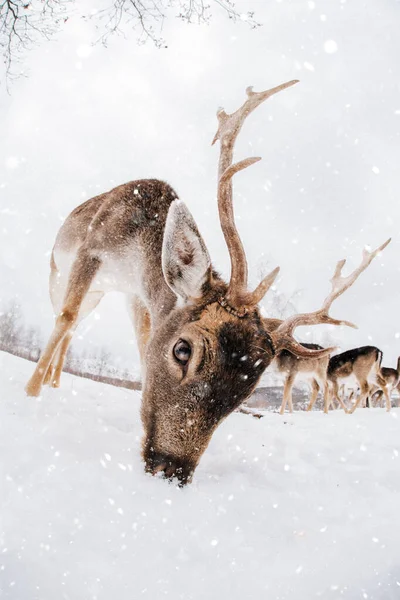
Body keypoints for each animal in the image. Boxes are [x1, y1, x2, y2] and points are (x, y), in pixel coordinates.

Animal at [25, 79, 390, 486]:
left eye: (249, 387)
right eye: (182, 350)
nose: (170, 469)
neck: (132, 254)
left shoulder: (136, 296)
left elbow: (141, 343)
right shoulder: (92, 249)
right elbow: (66, 316)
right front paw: (29, 395)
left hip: (100, 294)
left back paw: (56, 381)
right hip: (59, 274)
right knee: (66, 317)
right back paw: (46, 382)